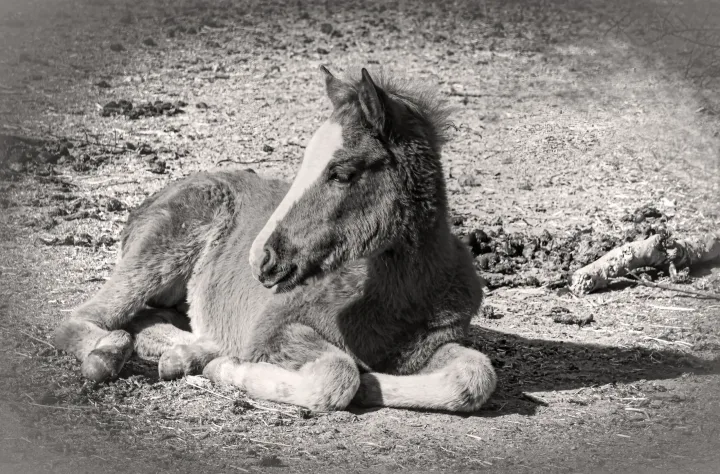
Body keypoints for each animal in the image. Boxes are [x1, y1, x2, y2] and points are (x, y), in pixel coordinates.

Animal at [54, 67, 497, 412]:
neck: (394, 299)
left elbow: (475, 375)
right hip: (160, 252)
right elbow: (338, 374)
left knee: (149, 320)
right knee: (81, 318)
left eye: (342, 173)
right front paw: (229, 368)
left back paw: (186, 354)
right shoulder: (276, 327)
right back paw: (111, 356)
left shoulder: (436, 343)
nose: (260, 259)